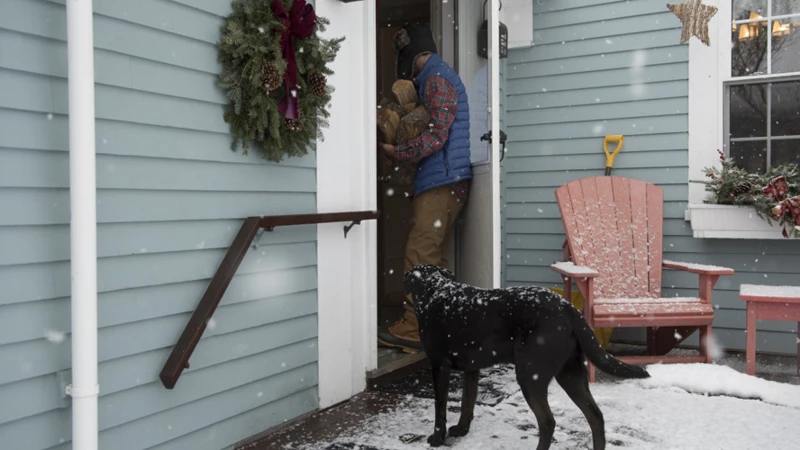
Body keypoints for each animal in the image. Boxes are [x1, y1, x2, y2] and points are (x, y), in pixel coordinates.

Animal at [404, 264, 652, 450]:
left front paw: (437, 438)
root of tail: (567, 308)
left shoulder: (439, 365)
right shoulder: (472, 368)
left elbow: (440, 407)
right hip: (570, 373)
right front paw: (461, 430)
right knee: (596, 416)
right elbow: (467, 402)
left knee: (548, 422)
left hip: (530, 375)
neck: (436, 290)